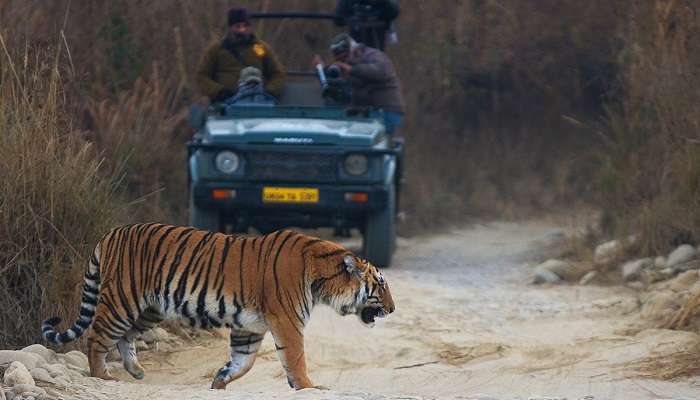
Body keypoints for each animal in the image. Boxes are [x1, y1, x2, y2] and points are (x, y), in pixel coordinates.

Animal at [42, 223, 394, 392]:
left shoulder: (249, 327)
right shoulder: (287, 321)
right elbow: (295, 358)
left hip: (149, 309)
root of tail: (111, 232)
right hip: (121, 300)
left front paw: (219, 380)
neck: (322, 278)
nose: (392, 309)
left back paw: (136, 370)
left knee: (126, 337)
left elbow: (244, 362)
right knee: (97, 337)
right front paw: (308, 386)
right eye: (381, 284)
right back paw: (102, 375)